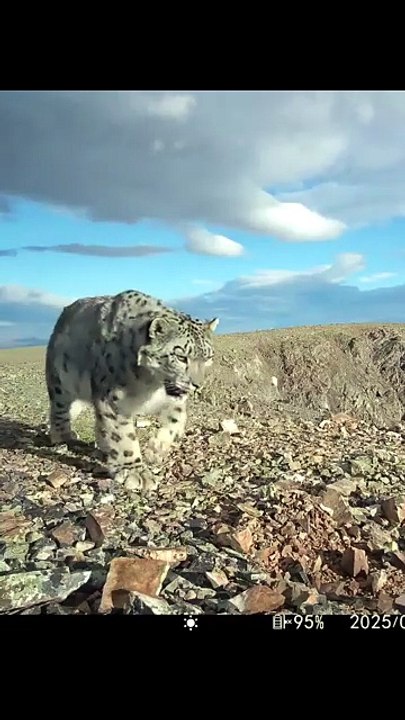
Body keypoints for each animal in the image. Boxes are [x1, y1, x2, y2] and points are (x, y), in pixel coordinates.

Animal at [45, 289, 218, 492]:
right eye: (181, 357)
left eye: (208, 357)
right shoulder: (112, 399)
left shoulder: (173, 401)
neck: (152, 385)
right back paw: (63, 435)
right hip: (61, 380)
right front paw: (134, 472)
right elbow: (121, 435)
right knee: (60, 408)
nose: (197, 384)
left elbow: (177, 420)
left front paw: (156, 449)